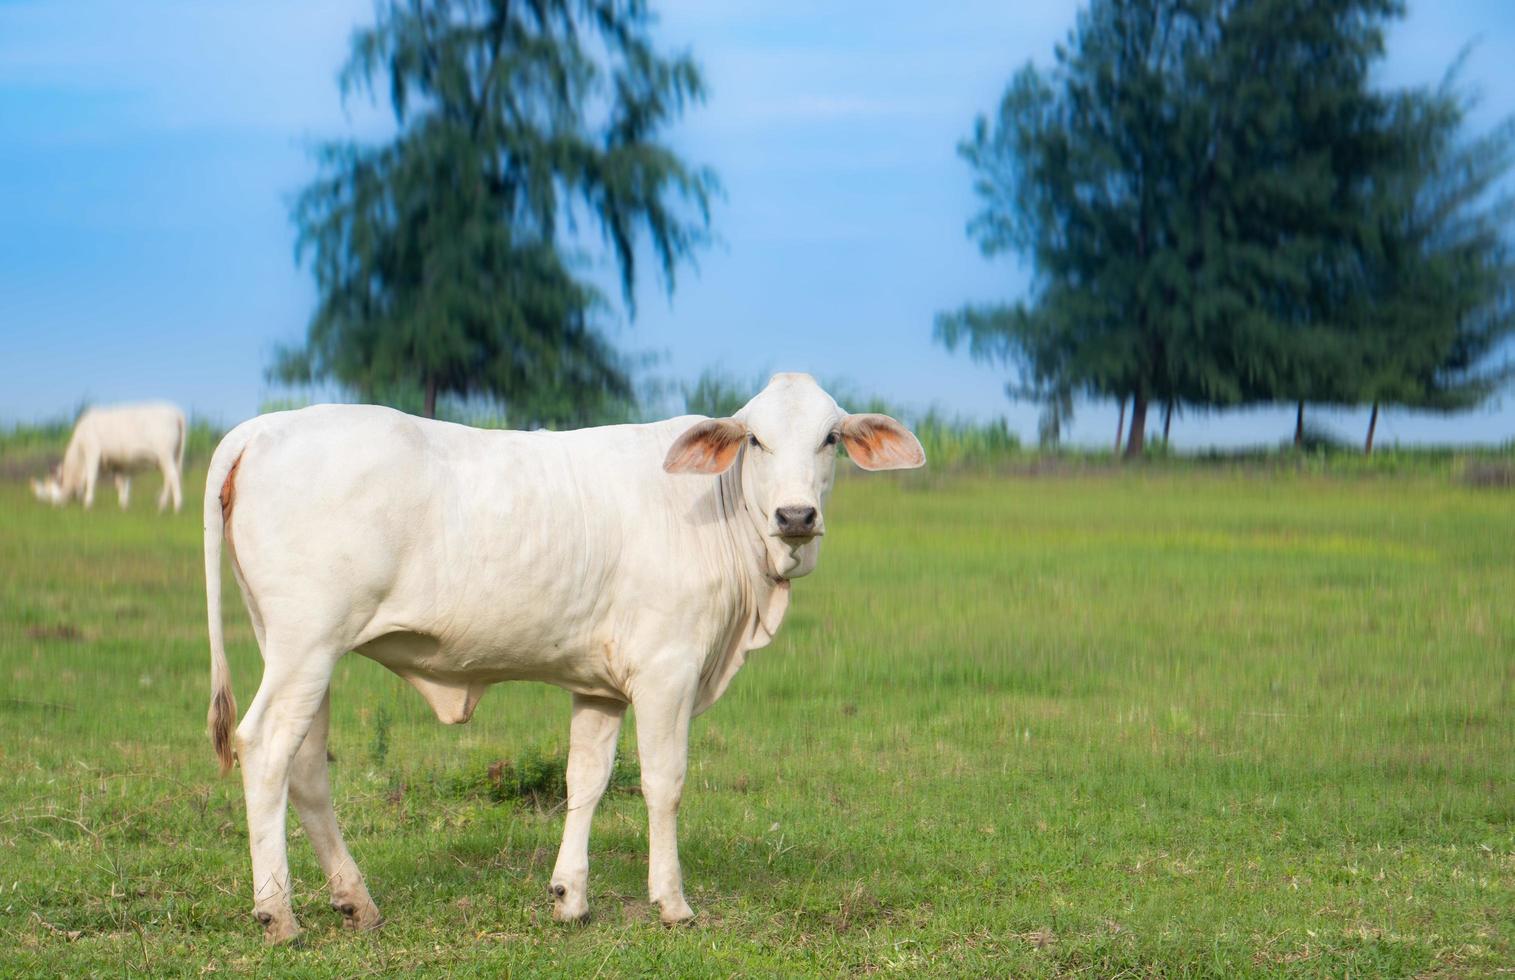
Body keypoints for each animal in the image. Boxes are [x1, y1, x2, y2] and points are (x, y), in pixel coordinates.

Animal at [31, 402, 186, 518]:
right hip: (170, 456)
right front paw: (123, 505)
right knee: (170, 477)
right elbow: (121, 482)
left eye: (50, 493)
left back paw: (175, 506)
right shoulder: (119, 463)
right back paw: (162, 503)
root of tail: (175, 411)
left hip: (165, 453)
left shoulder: (93, 451)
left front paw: (88, 503)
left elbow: (91, 478)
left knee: (172, 476)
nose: (54, 507)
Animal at [204, 374, 921, 945]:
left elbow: (586, 780)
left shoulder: (599, 686)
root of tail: (261, 427)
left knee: (305, 767)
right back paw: (278, 913)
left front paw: (569, 896)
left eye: (830, 438)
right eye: (755, 441)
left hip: (296, 650)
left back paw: (355, 900)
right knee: (265, 747)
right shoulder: (667, 671)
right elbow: (664, 782)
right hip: (309, 644)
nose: (796, 515)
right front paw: (672, 902)